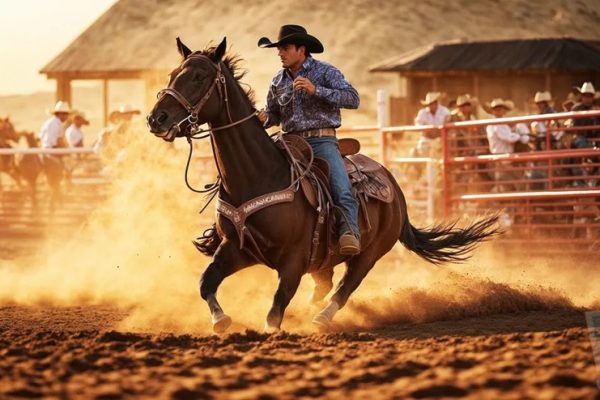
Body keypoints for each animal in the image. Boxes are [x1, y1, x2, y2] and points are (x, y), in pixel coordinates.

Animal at [146, 37, 496, 332]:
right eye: (172, 74)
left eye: (198, 77)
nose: (156, 119)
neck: (258, 176)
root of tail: (395, 188)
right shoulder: (235, 248)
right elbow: (206, 282)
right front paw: (221, 320)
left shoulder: (293, 262)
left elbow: (276, 309)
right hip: (323, 257)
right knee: (326, 283)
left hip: (370, 253)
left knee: (345, 287)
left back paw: (321, 318)